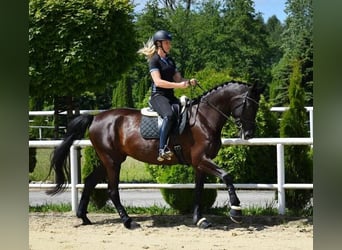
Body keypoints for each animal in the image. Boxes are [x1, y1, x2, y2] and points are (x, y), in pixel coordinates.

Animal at [47, 80, 262, 229]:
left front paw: (199, 220)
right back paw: (128, 221)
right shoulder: (202, 159)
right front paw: (236, 211)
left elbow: (199, 191)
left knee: (90, 181)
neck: (204, 119)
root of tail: (96, 117)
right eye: (248, 105)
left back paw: (84, 217)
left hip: (110, 159)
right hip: (112, 161)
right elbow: (226, 176)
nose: (249, 134)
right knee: (112, 190)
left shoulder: (199, 163)